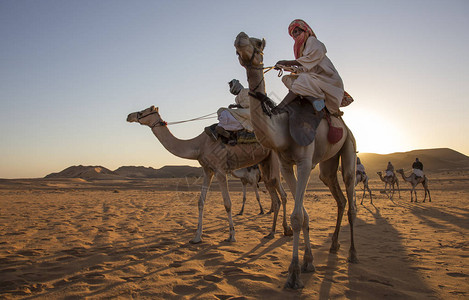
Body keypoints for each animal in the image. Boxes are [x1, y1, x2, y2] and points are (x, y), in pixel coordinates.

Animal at [126, 106, 290, 244]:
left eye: (143, 111)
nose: (129, 116)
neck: (199, 145)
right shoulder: (207, 170)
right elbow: (200, 202)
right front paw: (197, 237)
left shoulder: (220, 170)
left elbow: (227, 203)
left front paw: (232, 236)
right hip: (265, 162)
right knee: (276, 195)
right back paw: (273, 232)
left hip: (273, 159)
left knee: (281, 193)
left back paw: (285, 230)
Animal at [234, 32, 358, 288]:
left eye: (257, 43)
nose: (240, 37)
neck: (281, 127)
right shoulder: (285, 165)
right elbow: (304, 215)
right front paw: (308, 262)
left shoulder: (303, 163)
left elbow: (298, 216)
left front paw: (294, 274)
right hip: (327, 165)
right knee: (339, 197)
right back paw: (333, 245)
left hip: (349, 145)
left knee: (351, 196)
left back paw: (352, 253)